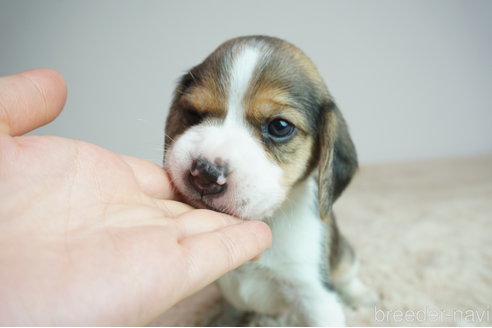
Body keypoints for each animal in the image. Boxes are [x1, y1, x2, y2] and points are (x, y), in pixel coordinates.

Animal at [164, 34, 376, 326]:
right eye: (194, 113)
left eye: (280, 126)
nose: (205, 174)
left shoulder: (315, 296)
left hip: (343, 256)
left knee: (347, 274)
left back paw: (362, 296)